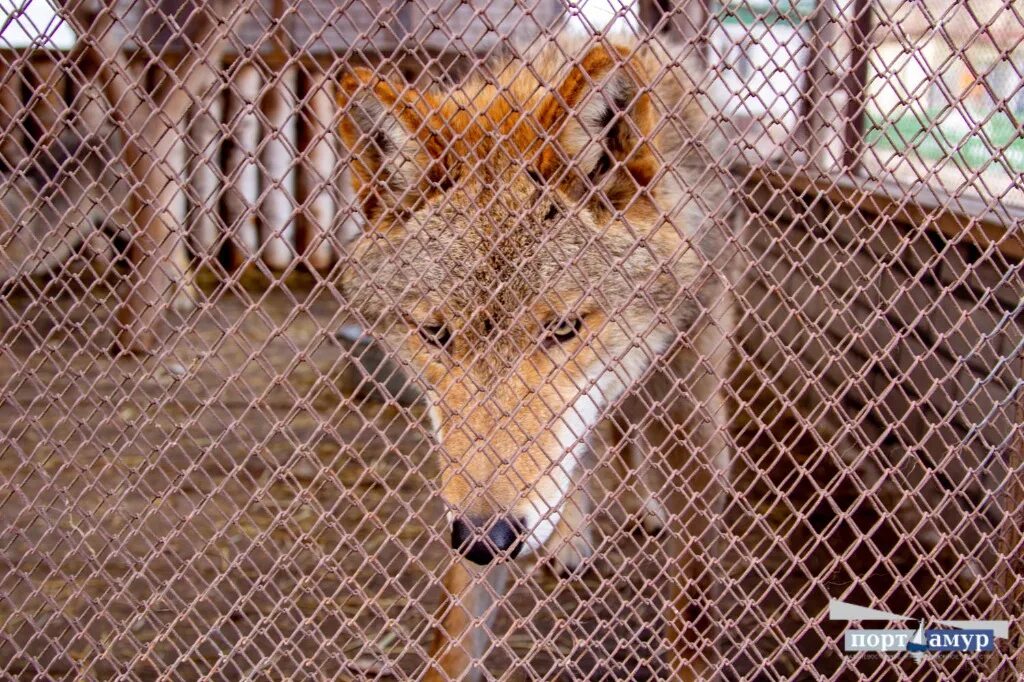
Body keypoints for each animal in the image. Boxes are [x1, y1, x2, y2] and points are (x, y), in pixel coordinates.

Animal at [339, 38, 733, 679]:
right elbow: (453, 642)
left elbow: (693, 605)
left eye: (563, 328)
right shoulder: (463, 501)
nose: (487, 538)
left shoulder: (695, 429)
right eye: (436, 334)